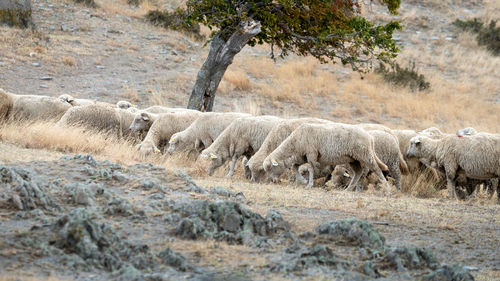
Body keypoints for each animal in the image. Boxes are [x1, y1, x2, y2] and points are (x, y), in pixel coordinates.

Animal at [262, 121, 390, 191]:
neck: (295, 142)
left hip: (365, 155)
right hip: (353, 159)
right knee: (358, 172)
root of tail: (370, 137)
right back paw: (349, 189)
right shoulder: (302, 156)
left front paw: (309, 184)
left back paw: (387, 188)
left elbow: (311, 169)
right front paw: (302, 181)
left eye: (271, 168)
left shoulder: (311, 154)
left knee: (377, 170)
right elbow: (295, 167)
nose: (271, 181)